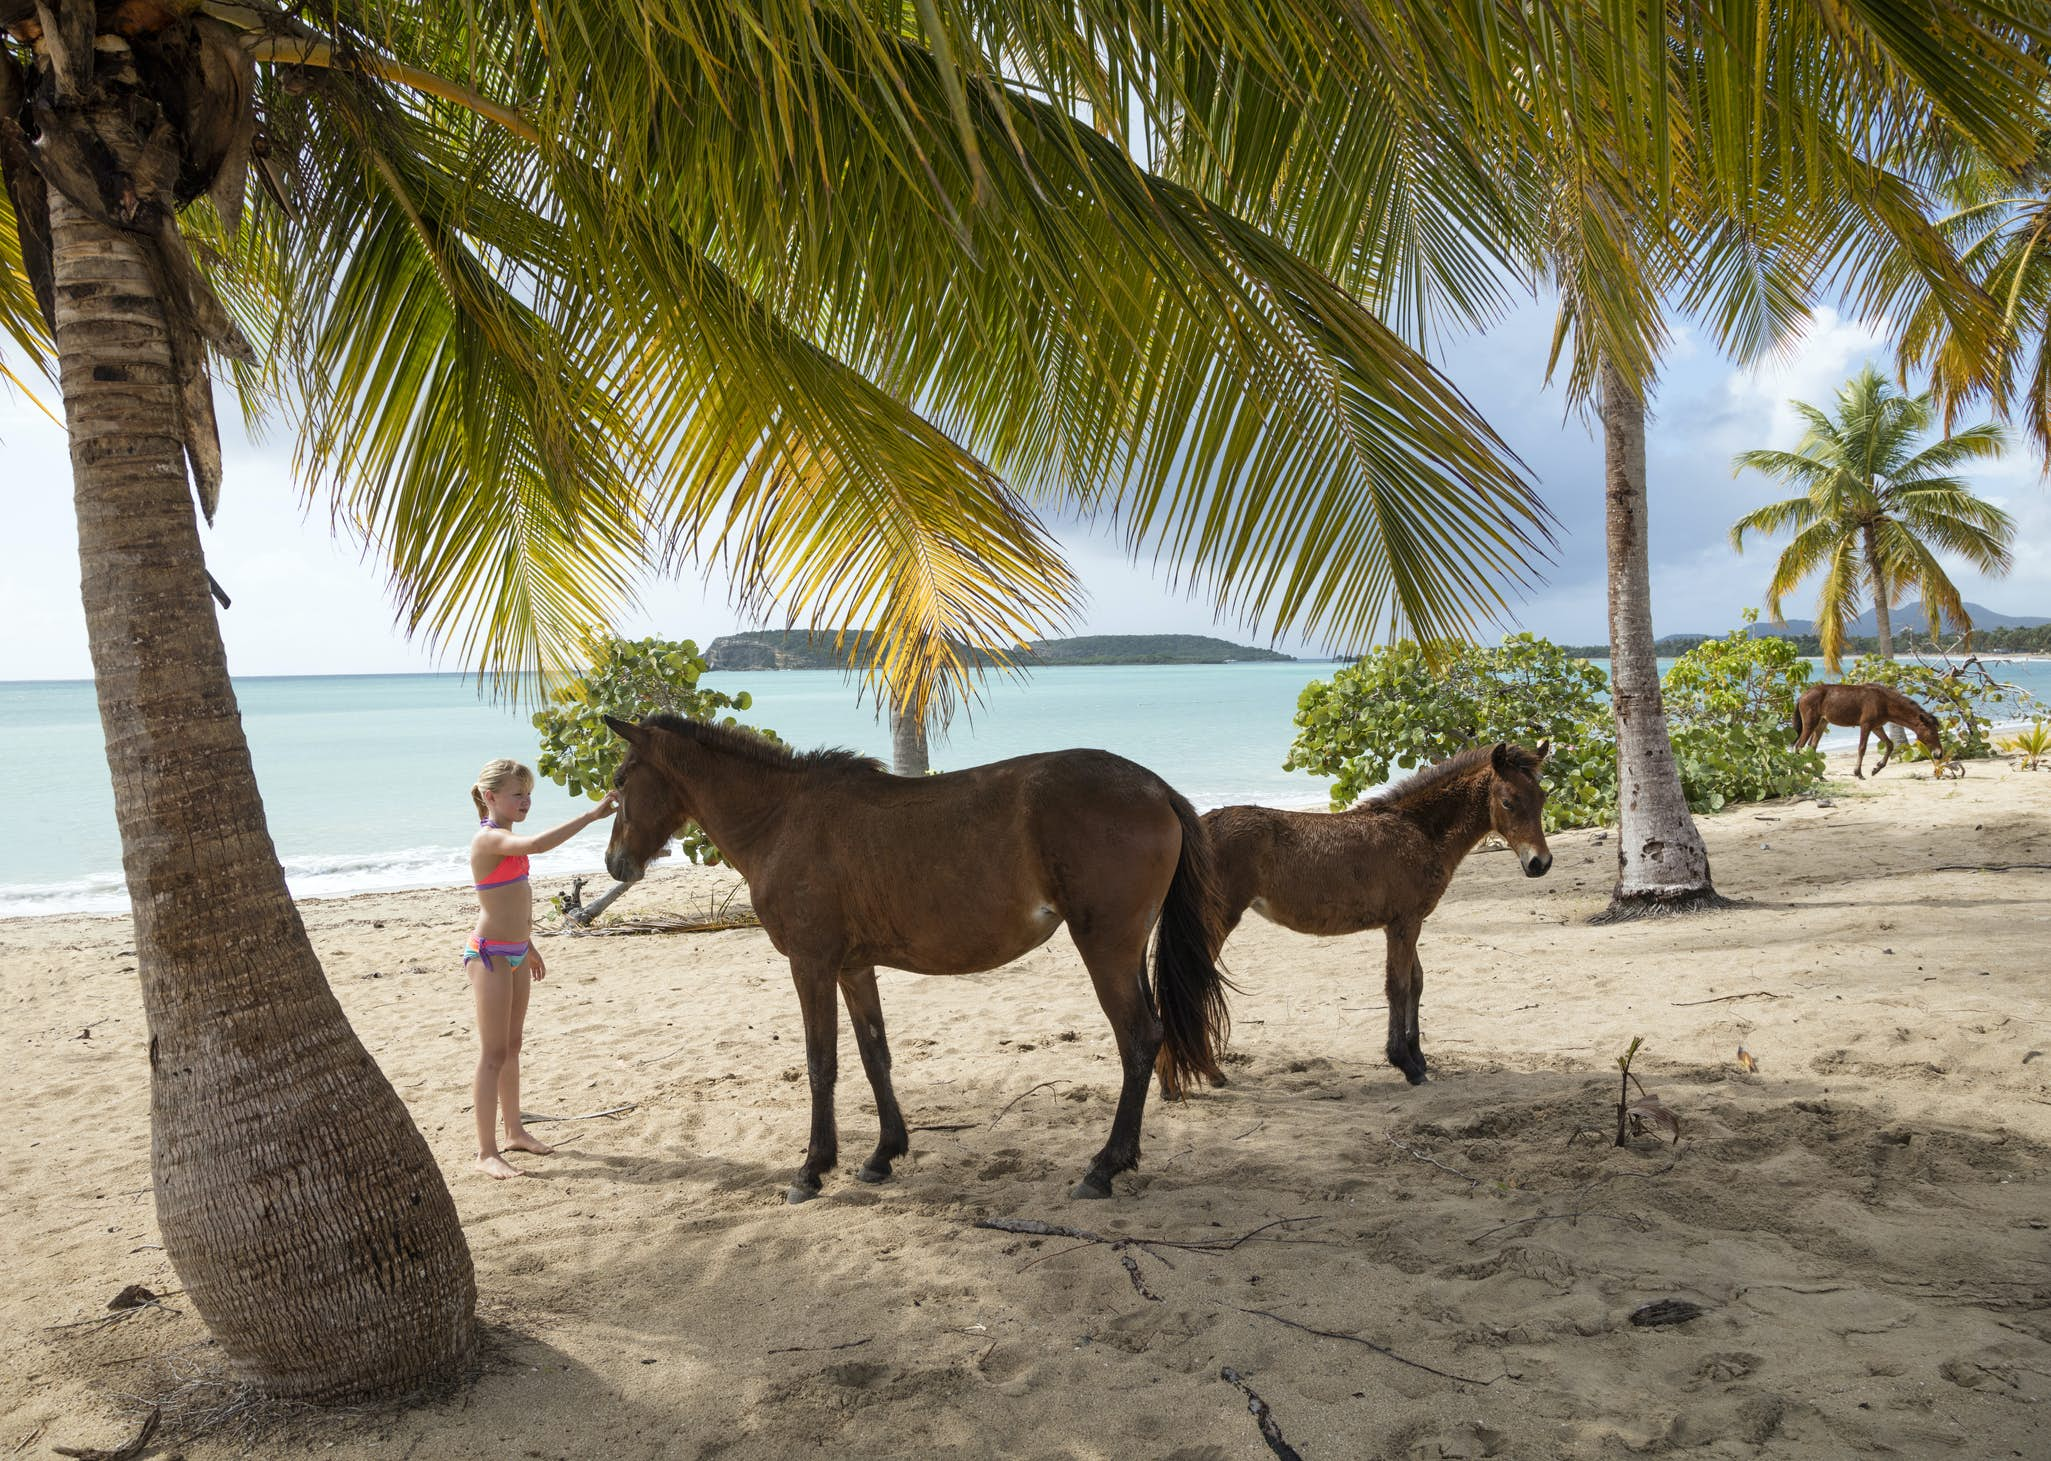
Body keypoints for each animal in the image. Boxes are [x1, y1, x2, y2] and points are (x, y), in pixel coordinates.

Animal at [598, 714, 1222, 1206]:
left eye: (621, 780)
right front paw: (883, 1154)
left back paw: (1103, 1167)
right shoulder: (852, 968)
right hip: (1127, 950)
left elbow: (821, 1062)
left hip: (1105, 948)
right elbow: (875, 1055)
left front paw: (811, 1169)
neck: (781, 818)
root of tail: (1153, 787)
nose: (613, 862)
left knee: (1139, 1039)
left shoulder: (810, 964)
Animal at [1197, 746, 1550, 1091]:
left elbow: (1416, 982)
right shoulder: (1404, 924)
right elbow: (1398, 985)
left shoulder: (1409, 921)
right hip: (1218, 918)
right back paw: (1211, 1073)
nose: (1540, 863)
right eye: (1508, 802)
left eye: (1542, 798)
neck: (1418, 831)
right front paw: (1406, 1064)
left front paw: (1418, 1056)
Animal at [1788, 681, 1944, 775]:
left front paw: (1877, 768)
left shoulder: (1877, 727)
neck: (1883, 702)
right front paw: (1858, 773)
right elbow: (1862, 748)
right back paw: (1801, 772)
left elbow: (1890, 744)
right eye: (1931, 732)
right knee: (1799, 746)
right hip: (1810, 723)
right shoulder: (1866, 725)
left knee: (1811, 747)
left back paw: (1818, 775)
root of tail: (1802, 696)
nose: (1939, 754)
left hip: (1821, 723)